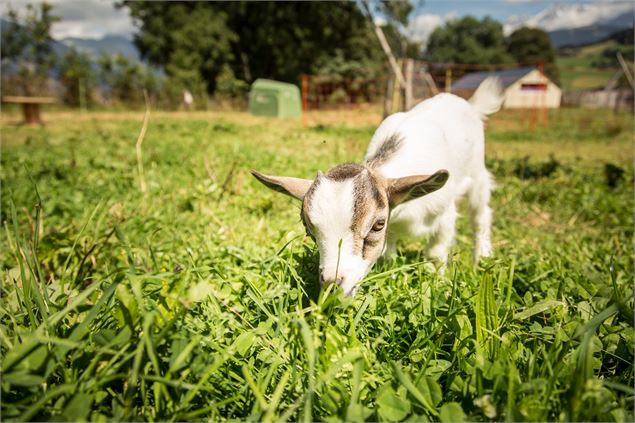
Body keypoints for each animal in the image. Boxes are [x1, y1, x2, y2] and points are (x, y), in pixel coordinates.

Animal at [251, 78, 504, 296]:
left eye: (377, 224)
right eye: (308, 228)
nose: (333, 285)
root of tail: (468, 105)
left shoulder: (444, 215)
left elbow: (435, 254)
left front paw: (438, 282)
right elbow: (387, 255)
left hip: (477, 175)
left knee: (481, 216)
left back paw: (482, 258)